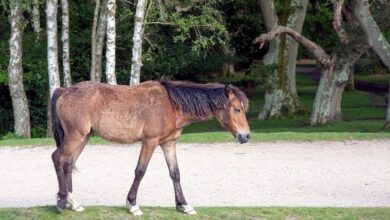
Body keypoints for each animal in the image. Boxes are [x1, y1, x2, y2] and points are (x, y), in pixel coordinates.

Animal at [51, 80, 250, 215]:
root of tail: (64, 91)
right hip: (75, 137)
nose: (246, 136)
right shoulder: (150, 142)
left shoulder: (169, 144)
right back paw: (61, 202)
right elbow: (140, 171)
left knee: (68, 164)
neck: (171, 105)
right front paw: (133, 204)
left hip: (83, 138)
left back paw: (73, 203)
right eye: (237, 109)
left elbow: (175, 173)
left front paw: (184, 205)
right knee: (57, 158)